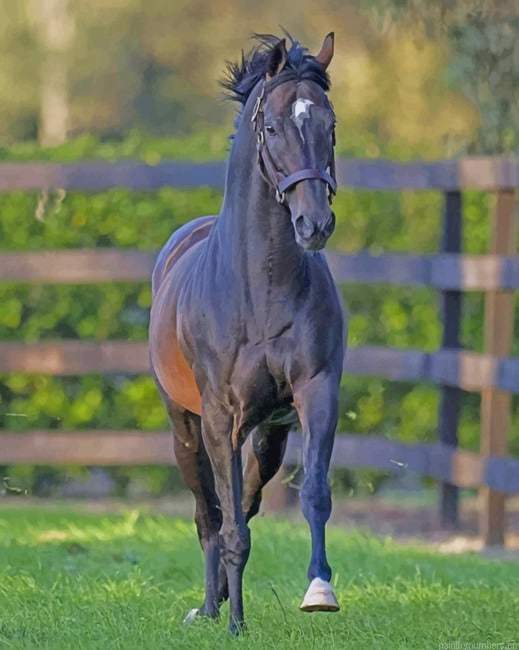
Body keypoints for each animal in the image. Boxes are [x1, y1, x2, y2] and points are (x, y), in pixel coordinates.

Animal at [149, 31, 346, 634]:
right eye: (274, 128)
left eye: (330, 124)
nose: (314, 225)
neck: (261, 290)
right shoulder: (219, 416)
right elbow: (227, 522)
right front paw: (235, 622)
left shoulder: (315, 392)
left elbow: (314, 493)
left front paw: (320, 591)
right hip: (187, 428)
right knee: (208, 513)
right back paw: (211, 607)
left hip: (268, 434)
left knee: (248, 503)